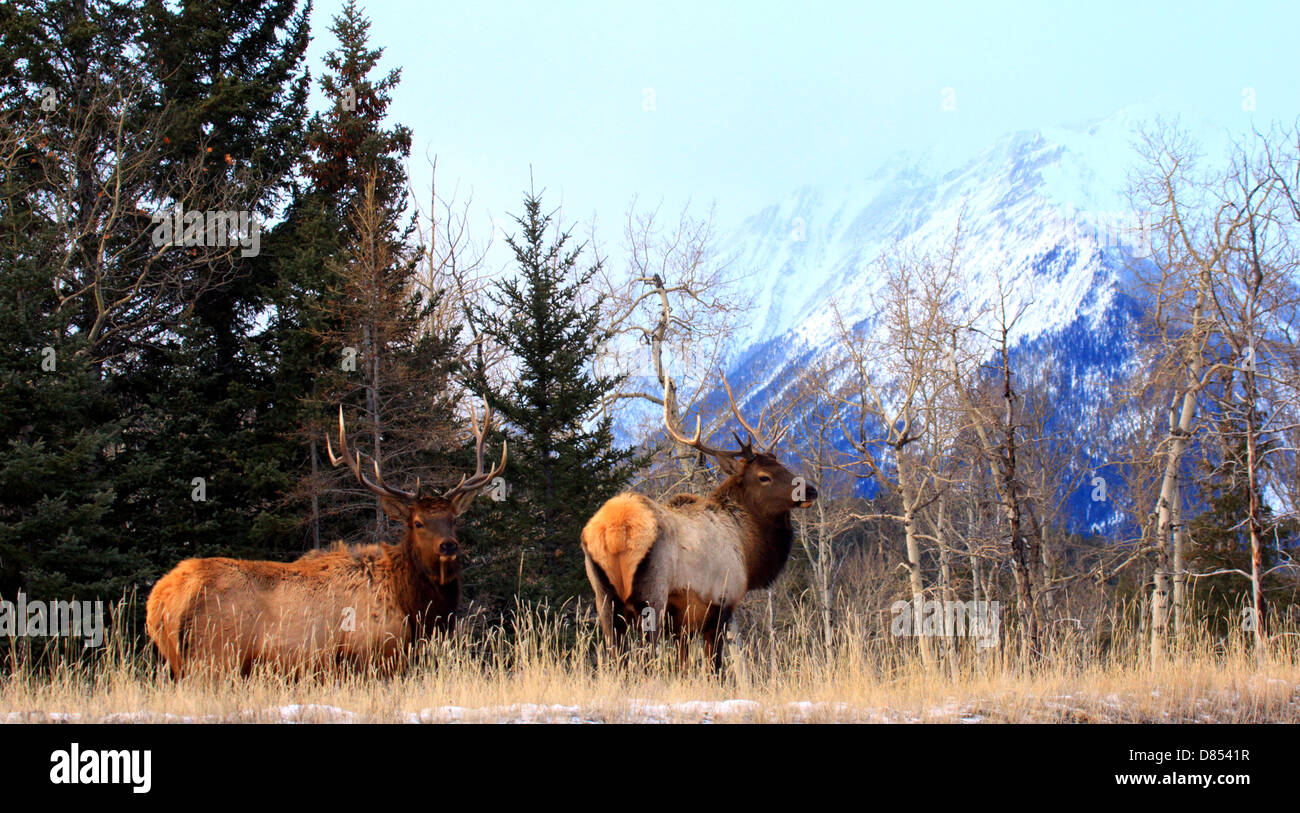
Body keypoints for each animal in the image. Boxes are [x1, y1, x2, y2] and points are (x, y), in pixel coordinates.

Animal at [145, 404, 505, 679]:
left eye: (453, 519)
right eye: (417, 522)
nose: (449, 546)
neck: (411, 605)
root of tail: (160, 600)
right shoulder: (371, 655)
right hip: (214, 657)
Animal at [581, 373, 817, 674]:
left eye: (784, 466)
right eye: (764, 476)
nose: (810, 491)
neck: (747, 547)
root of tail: (612, 530)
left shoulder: (681, 624)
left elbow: (683, 666)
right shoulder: (721, 602)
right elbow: (714, 668)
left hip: (604, 600)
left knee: (616, 657)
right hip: (651, 595)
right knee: (646, 658)